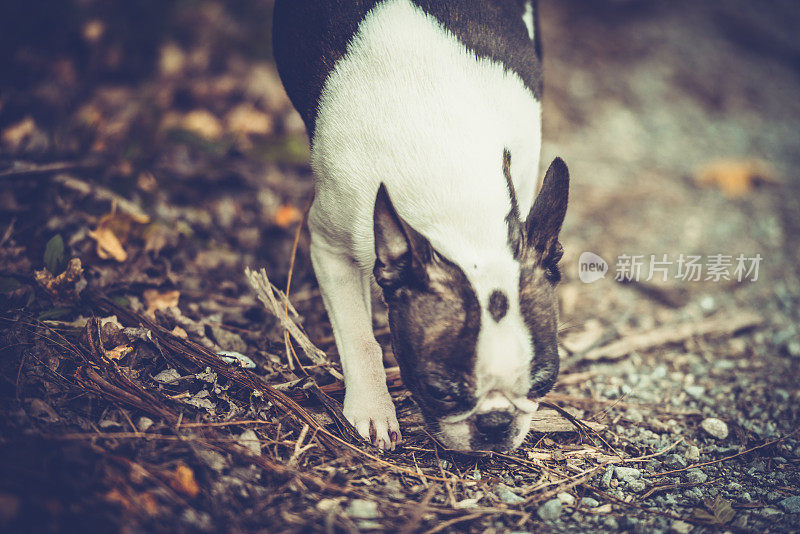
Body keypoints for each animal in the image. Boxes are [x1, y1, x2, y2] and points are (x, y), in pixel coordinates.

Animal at [276, 0, 568, 454]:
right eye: (438, 390)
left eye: (544, 381)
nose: (496, 424)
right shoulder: (330, 246)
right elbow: (360, 338)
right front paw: (373, 409)